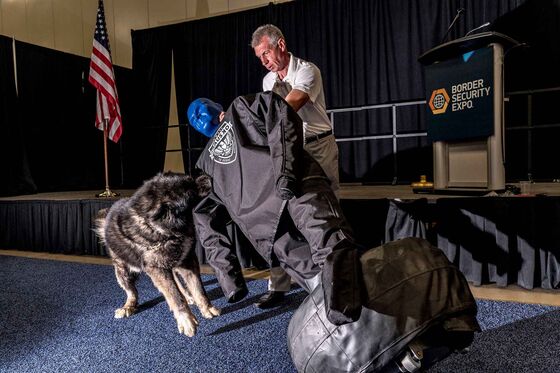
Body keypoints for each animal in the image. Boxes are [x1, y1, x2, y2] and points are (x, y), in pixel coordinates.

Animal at [95, 171, 220, 338]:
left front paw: (207, 308)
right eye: (190, 189)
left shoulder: (187, 260)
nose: (208, 176)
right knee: (132, 292)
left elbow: (198, 288)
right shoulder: (157, 269)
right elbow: (174, 295)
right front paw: (186, 320)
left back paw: (188, 296)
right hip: (123, 271)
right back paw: (128, 307)